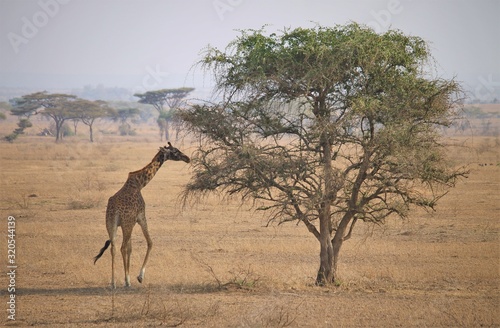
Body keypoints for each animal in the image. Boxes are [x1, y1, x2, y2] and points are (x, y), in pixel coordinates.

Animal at [93, 142, 189, 288]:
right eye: (175, 151)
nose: (187, 158)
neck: (139, 184)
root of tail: (114, 209)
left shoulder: (129, 223)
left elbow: (131, 248)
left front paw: (128, 278)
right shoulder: (140, 217)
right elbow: (150, 242)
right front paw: (138, 277)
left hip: (111, 224)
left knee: (114, 248)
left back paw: (113, 282)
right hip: (126, 224)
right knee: (122, 247)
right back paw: (126, 282)